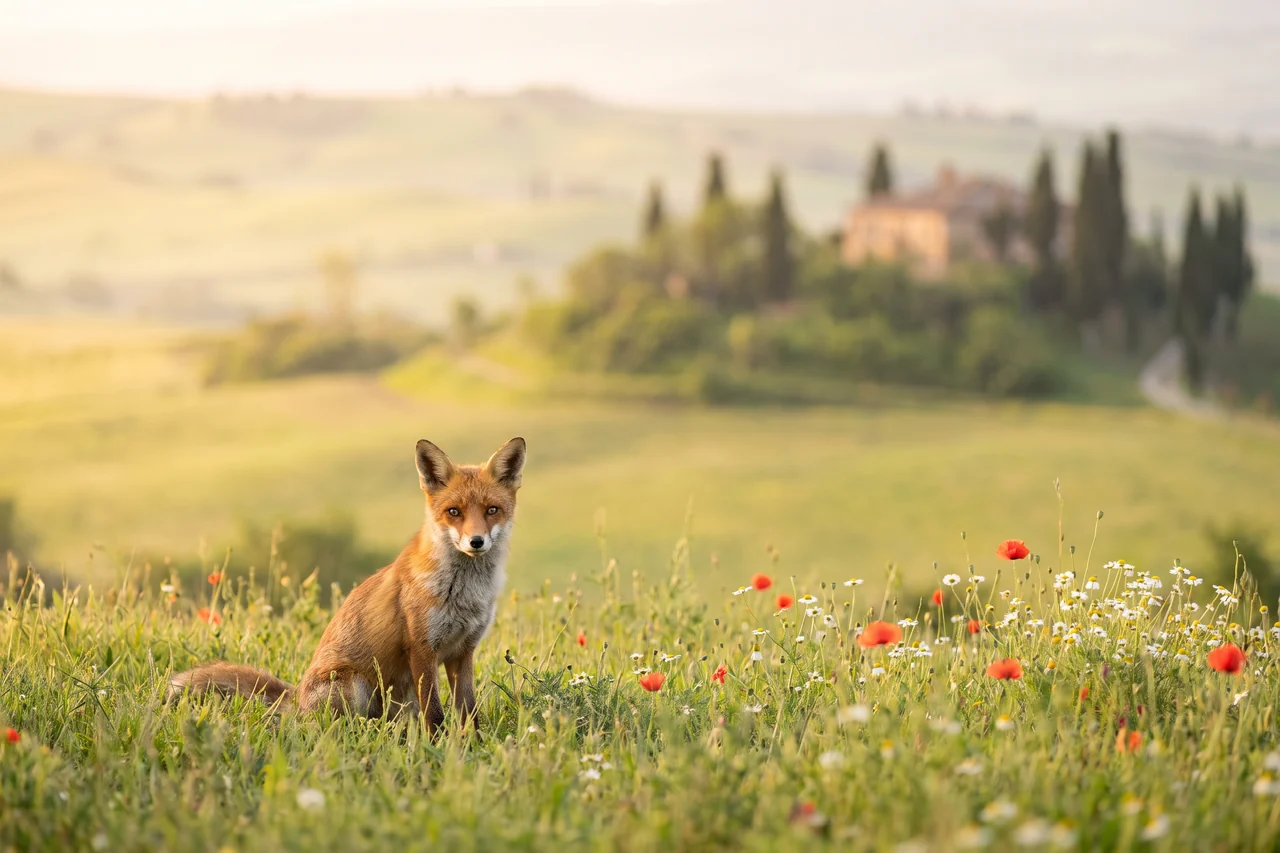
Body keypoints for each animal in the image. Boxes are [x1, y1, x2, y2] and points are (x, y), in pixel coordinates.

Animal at [167, 436, 526, 732]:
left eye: (492, 510)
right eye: (454, 512)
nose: (476, 542)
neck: (464, 593)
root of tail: (297, 698)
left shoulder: (463, 651)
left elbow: (468, 711)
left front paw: (473, 746)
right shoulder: (422, 649)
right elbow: (435, 714)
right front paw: (437, 750)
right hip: (355, 684)